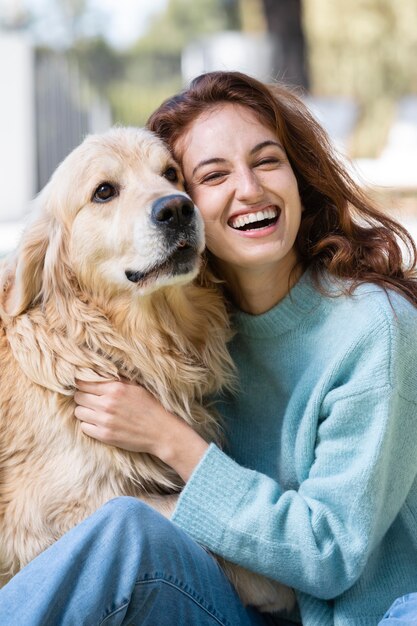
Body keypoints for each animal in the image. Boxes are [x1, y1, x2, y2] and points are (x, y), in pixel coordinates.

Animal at [0, 127, 292, 608]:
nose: (177, 208)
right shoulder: (34, 518)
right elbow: (168, 509)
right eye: (104, 191)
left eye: (171, 174)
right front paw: (280, 588)